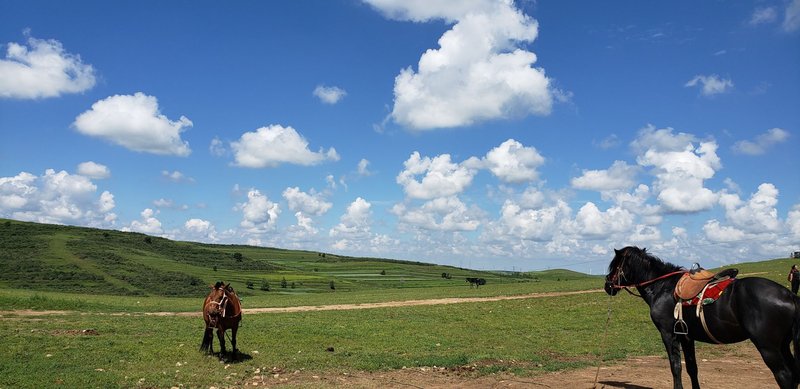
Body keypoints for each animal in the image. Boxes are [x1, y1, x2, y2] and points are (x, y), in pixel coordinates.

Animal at [608, 247, 800, 386]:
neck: (662, 287)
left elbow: (675, 367)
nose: (607, 284)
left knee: (784, 376)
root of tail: (789, 295)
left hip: (768, 347)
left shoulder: (668, 335)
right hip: (783, 345)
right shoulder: (686, 337)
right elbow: (692, 368)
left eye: (614, 266)